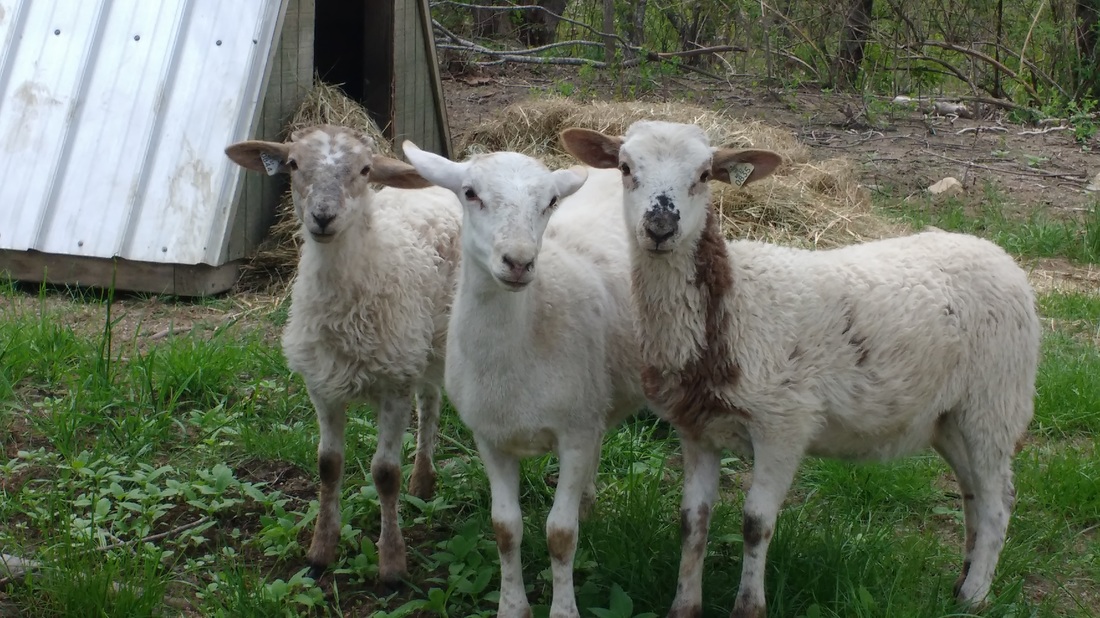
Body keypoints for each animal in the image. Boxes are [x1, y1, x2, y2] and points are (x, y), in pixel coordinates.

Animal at [223, 125, 464, 580]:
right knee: (429, 395)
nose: (322, 216)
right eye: (293, 164)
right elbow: (328, 466)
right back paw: (423, 482)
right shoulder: (321, 385)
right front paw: (320, 552)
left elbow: (384, 473)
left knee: (430, 401)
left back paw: (423, 474)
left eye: (366, 169)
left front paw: (392, 565)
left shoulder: (393, 385)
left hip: (433, 337)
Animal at [402, 139, 642, 615]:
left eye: (550, 202)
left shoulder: (573, 432)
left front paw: (564, 609)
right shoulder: (489, 438)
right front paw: (512, 606)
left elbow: (560, 534)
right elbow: (505, 528)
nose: (518, 261)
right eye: (470, 192)